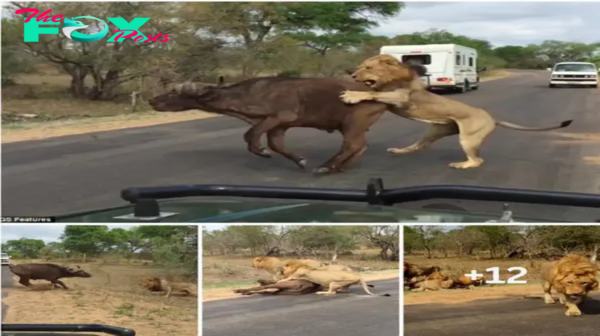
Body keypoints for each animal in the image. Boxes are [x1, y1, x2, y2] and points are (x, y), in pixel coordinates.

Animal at [148, 76, 386, 176]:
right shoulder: (279, 126)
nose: (152, 100)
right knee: (360, 147)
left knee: (352, 146)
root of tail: (378, 95)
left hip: (353, 123)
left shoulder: (277, 117)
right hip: (352, 126)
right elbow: (276, 145)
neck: (245, 95)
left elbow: (250, 135)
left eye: (175, 93)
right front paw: (299, 160)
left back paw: (327, 167)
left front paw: (261, 152)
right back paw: (339, 166)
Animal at [340, 55, 576, 171]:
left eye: (367, 68)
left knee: (478, 160)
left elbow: (373, 93)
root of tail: (493, 118)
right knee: (418, 145)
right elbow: (374, 93)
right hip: (435, 130)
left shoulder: (400, 98)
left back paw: (462, 165)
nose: (352, 74)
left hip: (469, 138)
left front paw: (351, 95)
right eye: (361, 67)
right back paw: (400, 150)